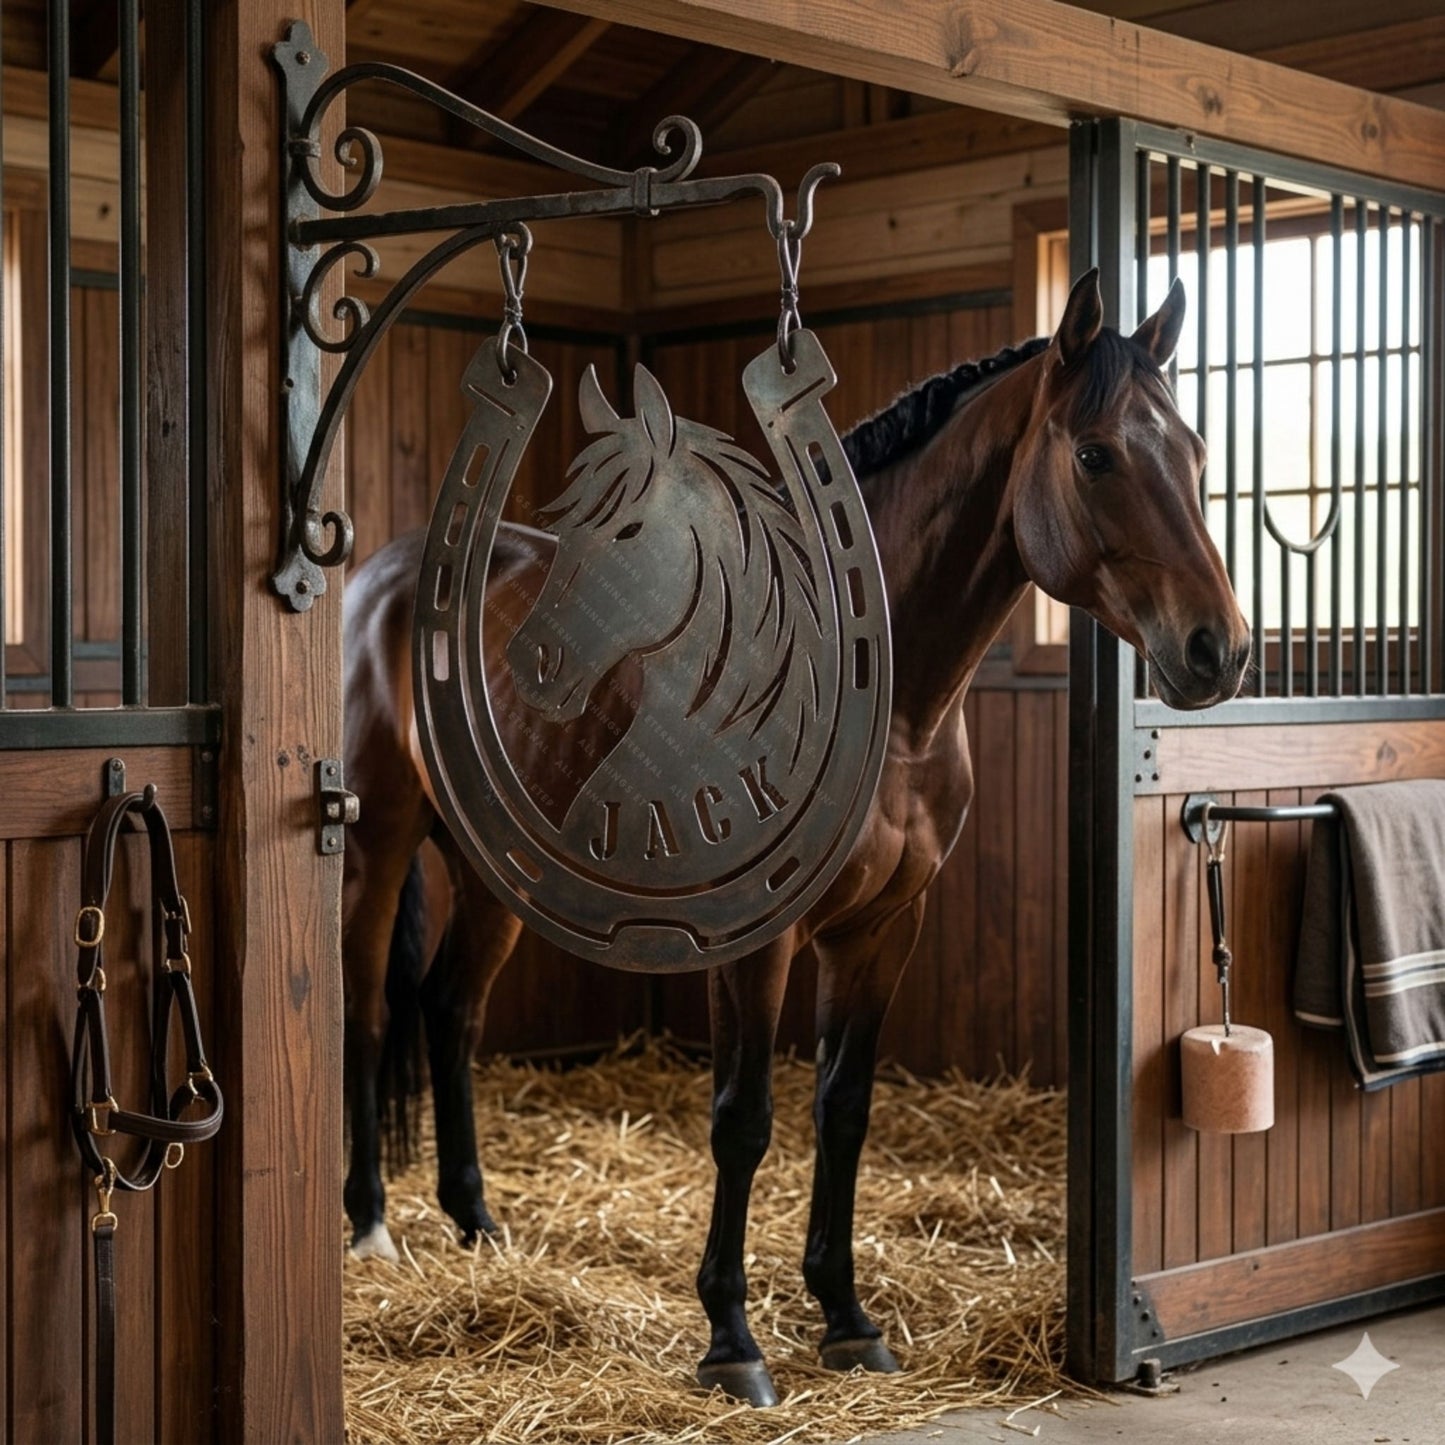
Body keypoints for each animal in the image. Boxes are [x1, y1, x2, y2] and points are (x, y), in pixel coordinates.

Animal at [340, 268, 1250, 1405]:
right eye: (1094, 454)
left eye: (1195, 454)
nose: (1217, 650)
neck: (877, 709)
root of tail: (385, 576)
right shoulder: (756, 940)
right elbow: (744, 1118)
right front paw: (732, 1338)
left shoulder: (882, 928)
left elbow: (842, 1105)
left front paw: (846, 1315)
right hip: (378, 842)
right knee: (368, 1006)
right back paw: (370, 1222)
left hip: (491, 874)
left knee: (450, 1010)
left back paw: (475, 1219)